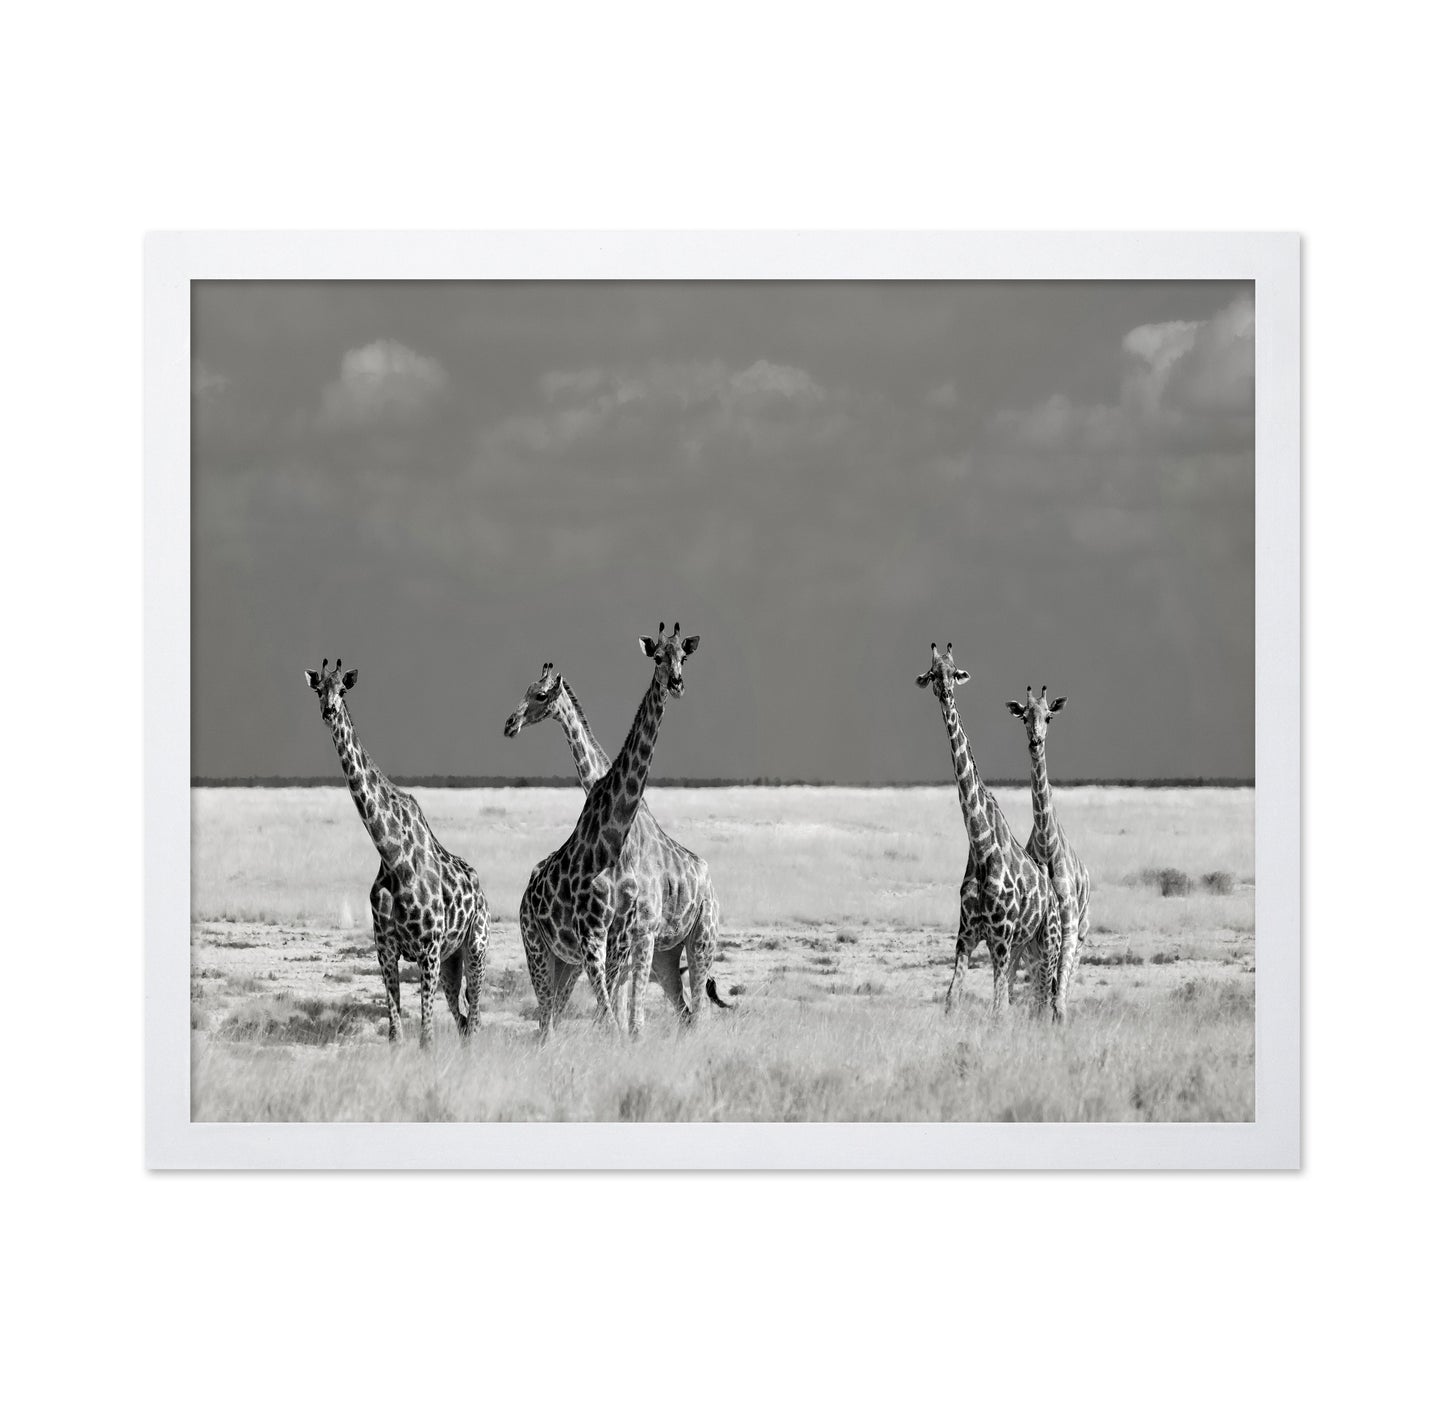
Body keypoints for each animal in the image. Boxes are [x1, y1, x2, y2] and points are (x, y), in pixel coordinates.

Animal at [304, 658, 490, 1046]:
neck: (392, 856)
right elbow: (395, 1033)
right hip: (452, 962)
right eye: (318, 690)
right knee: (464, 1020)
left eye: (342, 690)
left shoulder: (428, 951)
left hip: (475, 947)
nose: (329, 711)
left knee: (476, 1018)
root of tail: (480, 889)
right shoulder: (386, 951)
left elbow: (426, 1037)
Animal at [504, 661, 728, 1023]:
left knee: (696, 1009)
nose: (511, 724)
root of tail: (708, 878)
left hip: (700, 934)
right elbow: (619, 1010)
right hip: (663, 954)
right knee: (682, 1010)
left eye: (540, 694)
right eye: (526, 690)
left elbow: (627, 1014)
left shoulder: (638, 931)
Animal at [915, 643, 1062, 1019]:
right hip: (1023, 945)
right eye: (932, 673)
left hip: (1048, 941)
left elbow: (998, 1011)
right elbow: (953, 999)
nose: (946, 691)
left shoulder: (999, 938)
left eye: (955, 672)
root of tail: (1054, 895)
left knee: (1048, 998)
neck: (982, 848)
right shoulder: (966, 936)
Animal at [1007, 684, 1091, 1020]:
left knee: (1060, 989)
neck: (1046, 843)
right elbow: (1043, 995)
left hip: (1081, 937)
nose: (1035, 741)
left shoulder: (1068, 929)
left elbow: (1059, 1000)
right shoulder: (1034, 937)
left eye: (1049, 717)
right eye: (1023, 717)